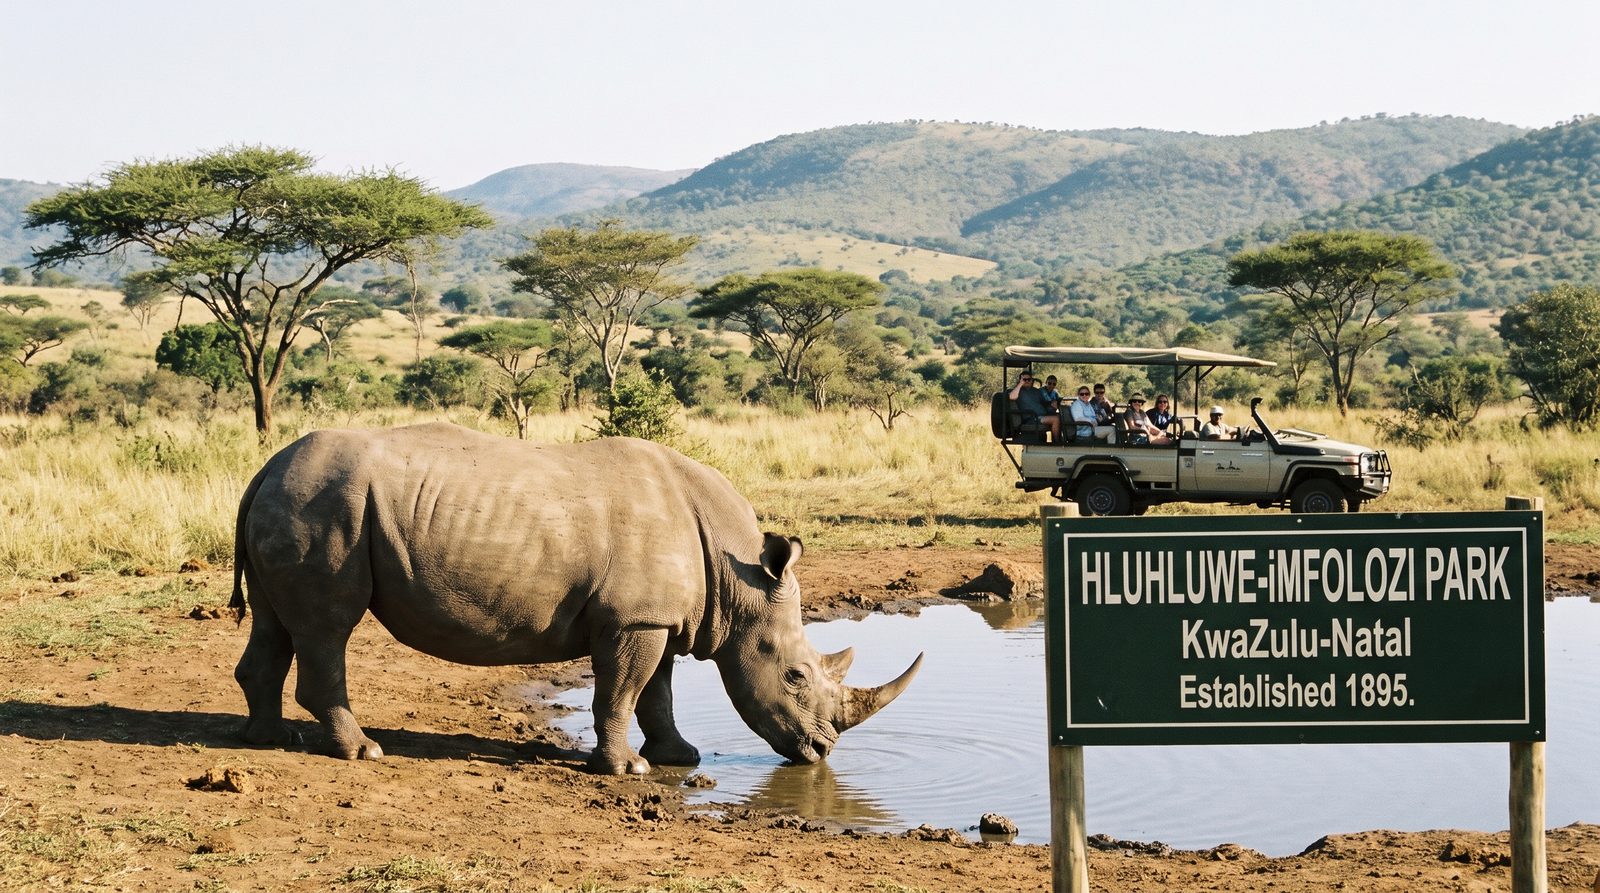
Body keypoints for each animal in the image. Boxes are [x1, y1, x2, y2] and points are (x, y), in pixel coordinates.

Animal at [230, 422, 922, 774]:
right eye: (796, 675)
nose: (822, 752)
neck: (738, 573)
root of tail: (263, 469)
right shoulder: (634, 620)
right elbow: (621, 693)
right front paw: (627, 771)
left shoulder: (655, 617)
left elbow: (657, 692)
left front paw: (679, 757)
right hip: (325, 506)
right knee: (327, 628)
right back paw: (362, 752)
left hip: (296, 499)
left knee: (277, 625)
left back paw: (267, 741)